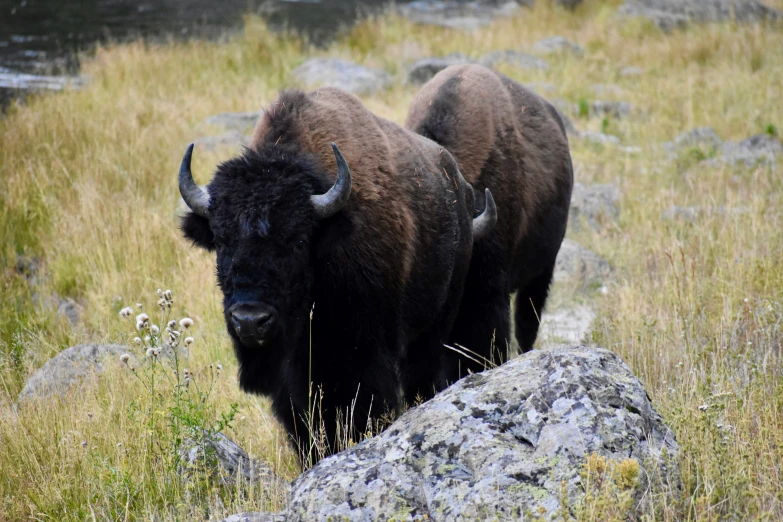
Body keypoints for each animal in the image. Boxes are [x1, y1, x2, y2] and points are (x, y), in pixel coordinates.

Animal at [178, 86, 496, 460]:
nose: (251, 322)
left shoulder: (368, 357)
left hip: (432, 329)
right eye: (221, 240)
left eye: (299, 240)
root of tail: (459, 190)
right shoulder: (293, 379)